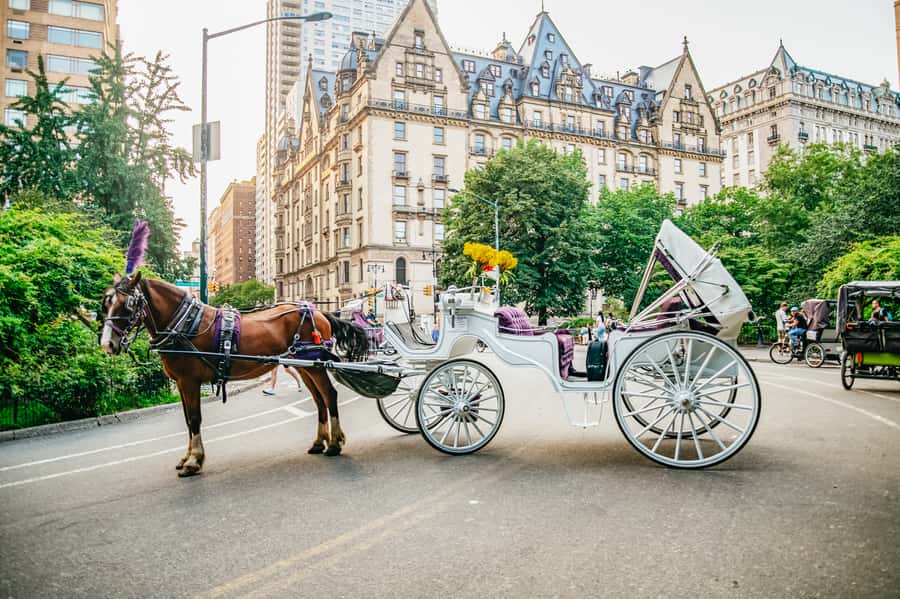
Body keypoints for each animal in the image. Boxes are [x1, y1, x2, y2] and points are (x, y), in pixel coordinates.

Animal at [99, 271, 369, 477]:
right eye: (106, 302)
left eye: (128, 304)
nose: (107, 344)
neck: (185, 325)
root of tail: (320, 312)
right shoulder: (182, 383)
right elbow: (187, 420)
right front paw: (187, 458)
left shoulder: (189, 381)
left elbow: (194, 419)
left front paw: (194, 461)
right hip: (304, 365)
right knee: (319, 400)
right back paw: (319, 442)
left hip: (316, 364)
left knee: (330, 395)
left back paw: (334, 443)